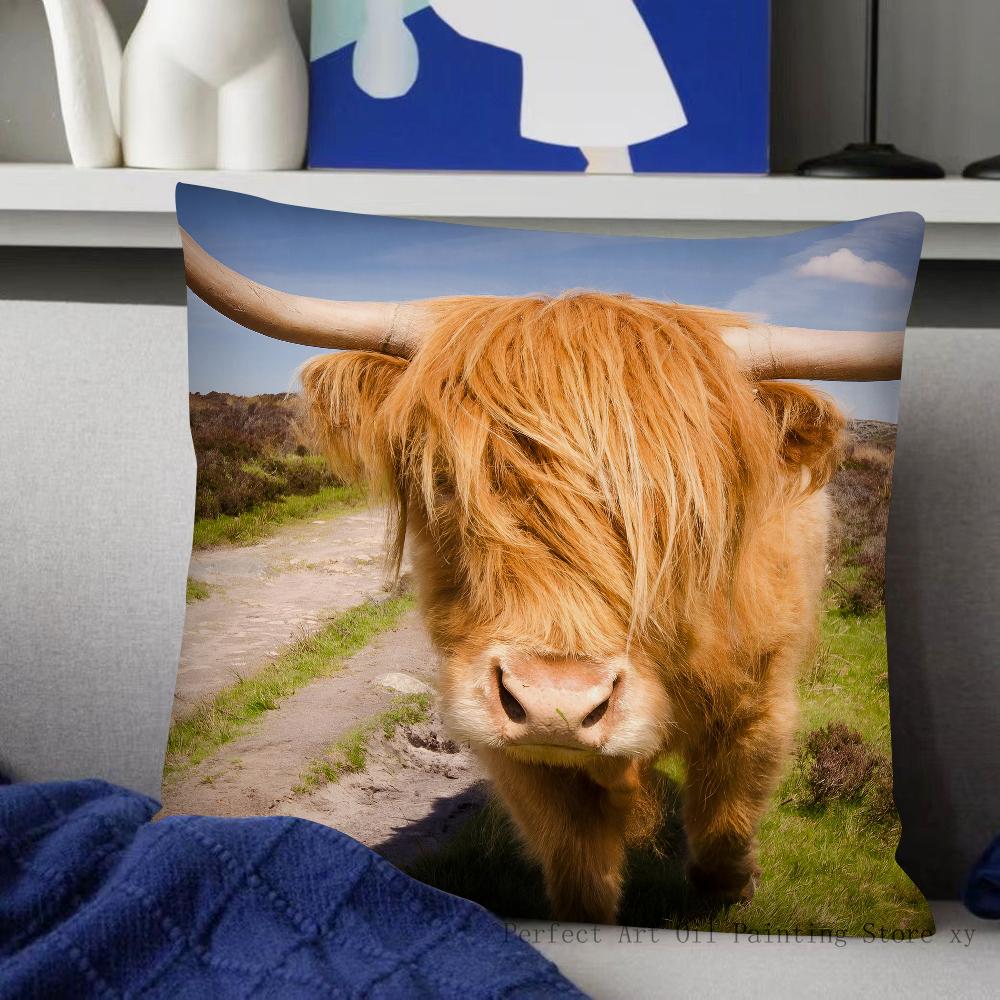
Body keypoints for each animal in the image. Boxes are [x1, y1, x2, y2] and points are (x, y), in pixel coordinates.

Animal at [183, 230, 903, 924]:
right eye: (443, 481)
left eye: (688, 505)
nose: (557, 703)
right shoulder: (500, 723)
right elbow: (577, 860)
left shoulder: (761, 698)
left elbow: (728, 812)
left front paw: (731, 891)